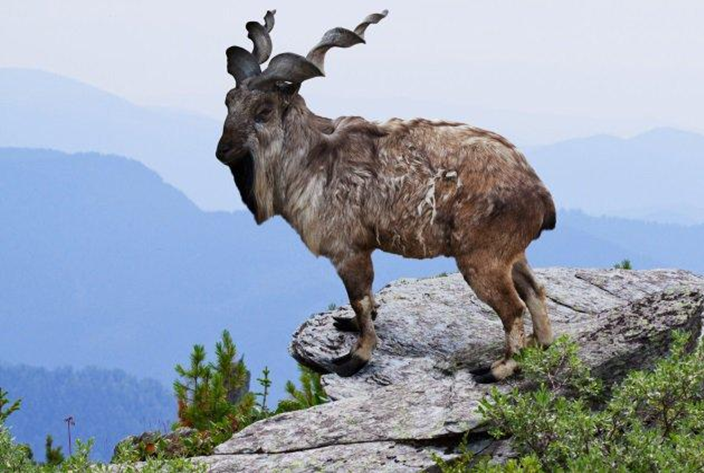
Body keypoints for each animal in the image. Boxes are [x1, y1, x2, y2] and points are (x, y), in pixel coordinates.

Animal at [216, 10, 556, 382]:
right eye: (229, 100)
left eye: (264, 110)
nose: (223, 151)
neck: (315, 158)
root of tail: (540, 193)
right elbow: (365, 302)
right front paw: (349, 325)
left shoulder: (348, 250)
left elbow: (360, 299)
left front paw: (355, 358)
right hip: (512, 252)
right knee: (535, 291)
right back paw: (541, 345)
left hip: (483, 258)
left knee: (513, 307)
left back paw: (498, 368)